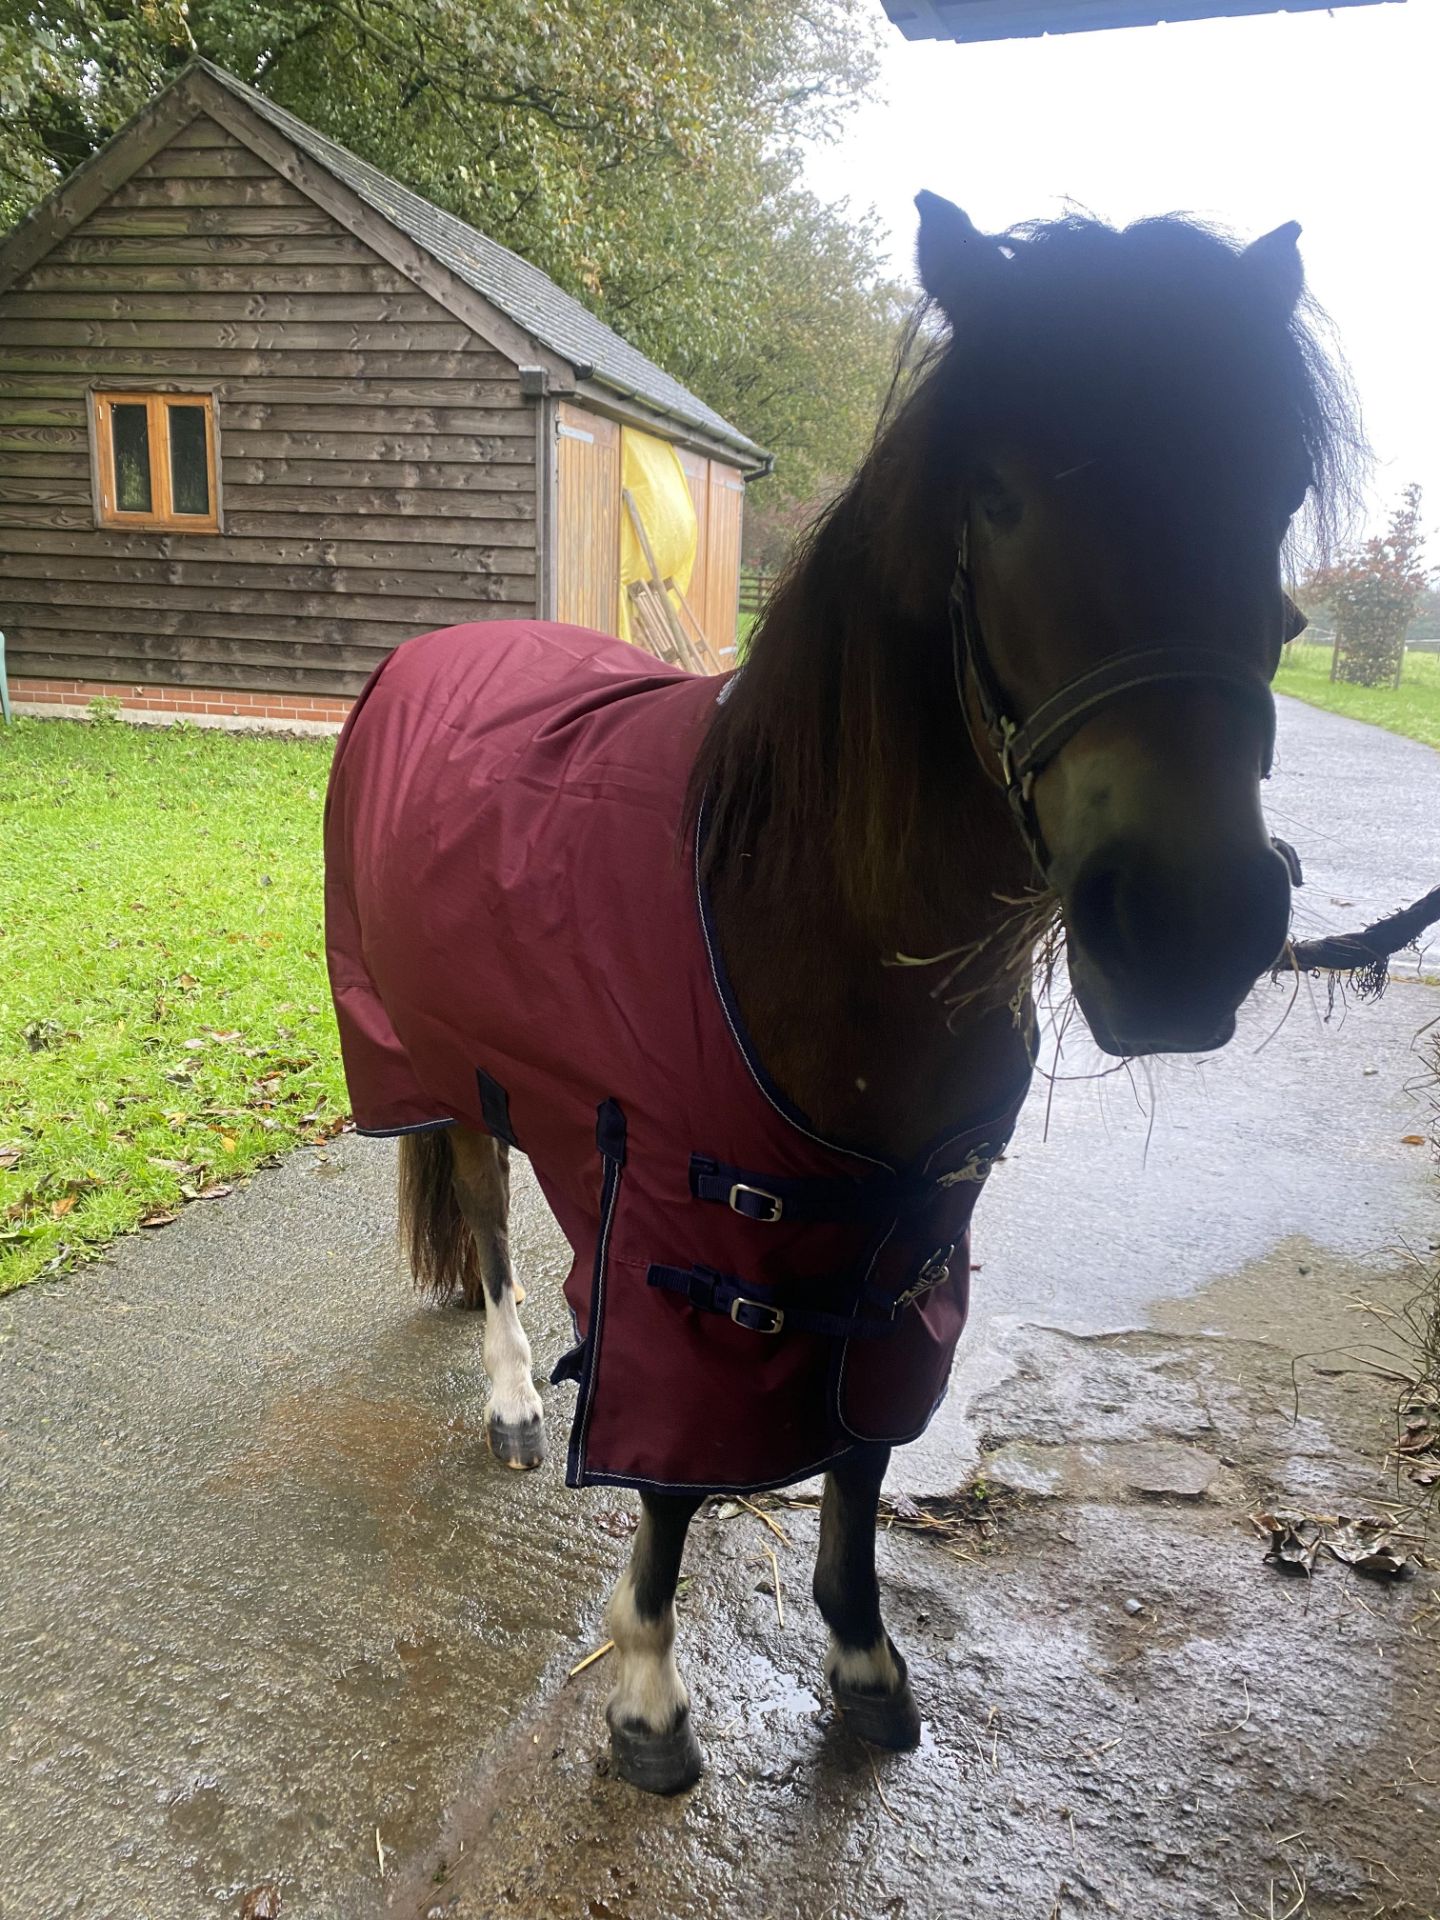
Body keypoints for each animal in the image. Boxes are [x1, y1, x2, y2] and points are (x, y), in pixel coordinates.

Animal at [326, 194, 1351, 1781]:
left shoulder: (909, 1230)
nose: (1189, 929)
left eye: (1272, 485)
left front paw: (863, 1655)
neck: (818, 921)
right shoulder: (695, 1240)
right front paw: (646, 1690)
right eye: (996, 494)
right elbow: (674, 1479)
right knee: (487, 1224)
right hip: (448, 1066)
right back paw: (506, 1396)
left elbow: (863, 1444)